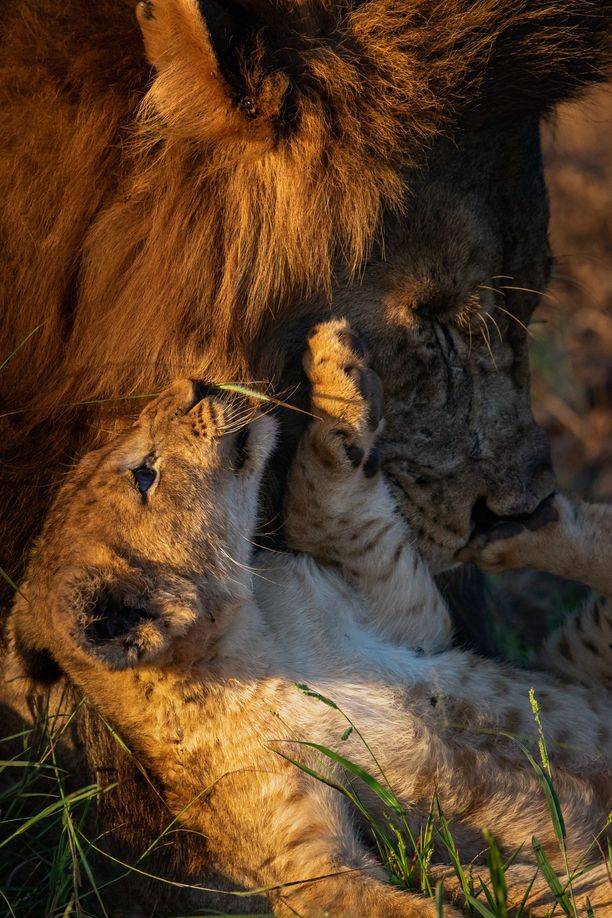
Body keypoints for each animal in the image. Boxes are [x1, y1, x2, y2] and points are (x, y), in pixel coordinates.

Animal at [1, 0, 612, 912]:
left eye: (536, 296)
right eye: (432, 315)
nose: (521, 500)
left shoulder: (400, 610)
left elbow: (338, 500)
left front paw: (334, 372)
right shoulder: (292, 836)